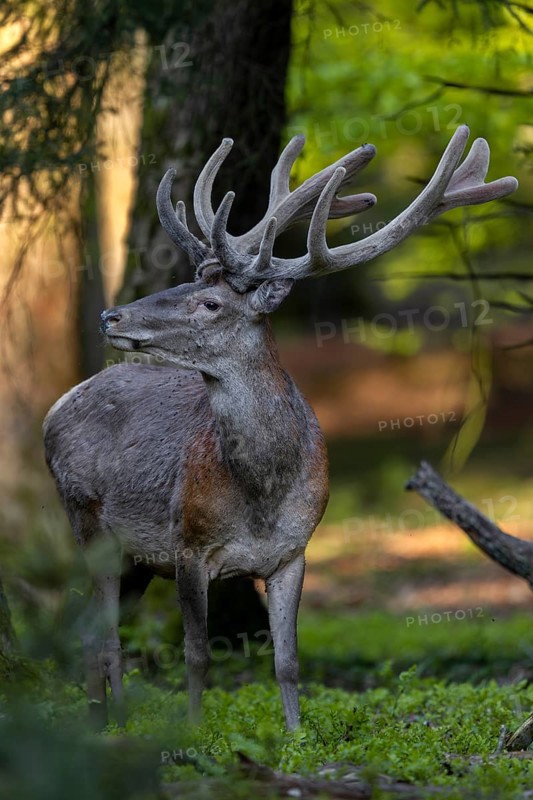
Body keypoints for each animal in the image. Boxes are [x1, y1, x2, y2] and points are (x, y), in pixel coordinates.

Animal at [43, 124, 517, 731]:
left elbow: (288, 660)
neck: (263, 495)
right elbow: (197, 655)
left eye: (209, 302)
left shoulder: (295, 551)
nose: (111, 316)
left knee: (93, 630)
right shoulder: (188, 544)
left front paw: (295, 736)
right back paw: (109, 725)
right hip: (86, 519)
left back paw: (104, 720)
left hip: (130, 556)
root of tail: (57, 405)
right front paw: (195, 732)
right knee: (98, 634)